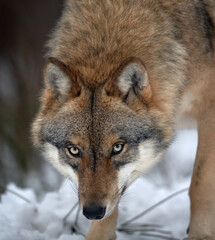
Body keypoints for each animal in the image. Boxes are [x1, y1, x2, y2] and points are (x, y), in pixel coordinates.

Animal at [31, 0, 215, 239]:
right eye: (74, 150)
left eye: (117, 147)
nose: (92, 211)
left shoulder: (209, 111)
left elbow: (199, 186)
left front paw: (200, 235)